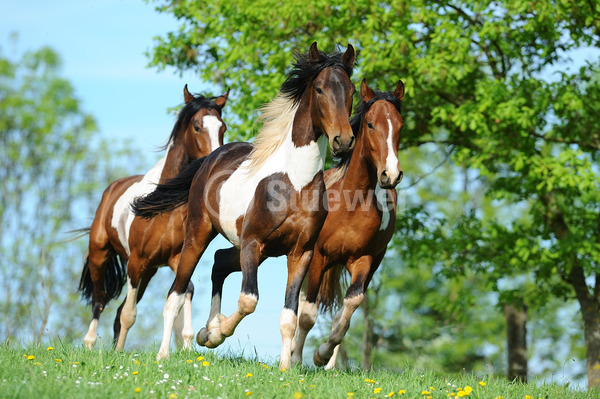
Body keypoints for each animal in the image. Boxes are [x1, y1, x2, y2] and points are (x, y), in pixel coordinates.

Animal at [78, 86, 229, 352]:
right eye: (197, 126)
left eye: (223, 128)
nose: (214, 160)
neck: (165, 205)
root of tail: (111, 189)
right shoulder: (136, 262)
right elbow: (129, 314)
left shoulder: (174, 259)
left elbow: (186, 290)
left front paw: (186, 344)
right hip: (100, 255)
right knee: (99, 301)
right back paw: (89, 345)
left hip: (149, 271)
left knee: (115, 312)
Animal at [132, 42, 356, 370]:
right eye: (319, 89)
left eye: (351, 90)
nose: (344, 141)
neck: (294, 183)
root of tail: (210, 158)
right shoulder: (252, 242)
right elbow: (248, 300)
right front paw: (215, 334)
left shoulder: (300, 253)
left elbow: (289, 316)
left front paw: (285, 368)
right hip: (200, 234)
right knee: (176, 292)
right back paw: (166, 352)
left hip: (253, 251)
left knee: (219, 262)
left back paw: (206, 327)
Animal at [290, 78, 408, 368]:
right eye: (370, 124)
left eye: (400, 125)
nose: (391, 175)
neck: (351, 203)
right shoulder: (318, 256)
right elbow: (307, 313)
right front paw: (297, 359)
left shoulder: (363, 260)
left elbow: (350, 306)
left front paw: (322, 354)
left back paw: (330, 365)